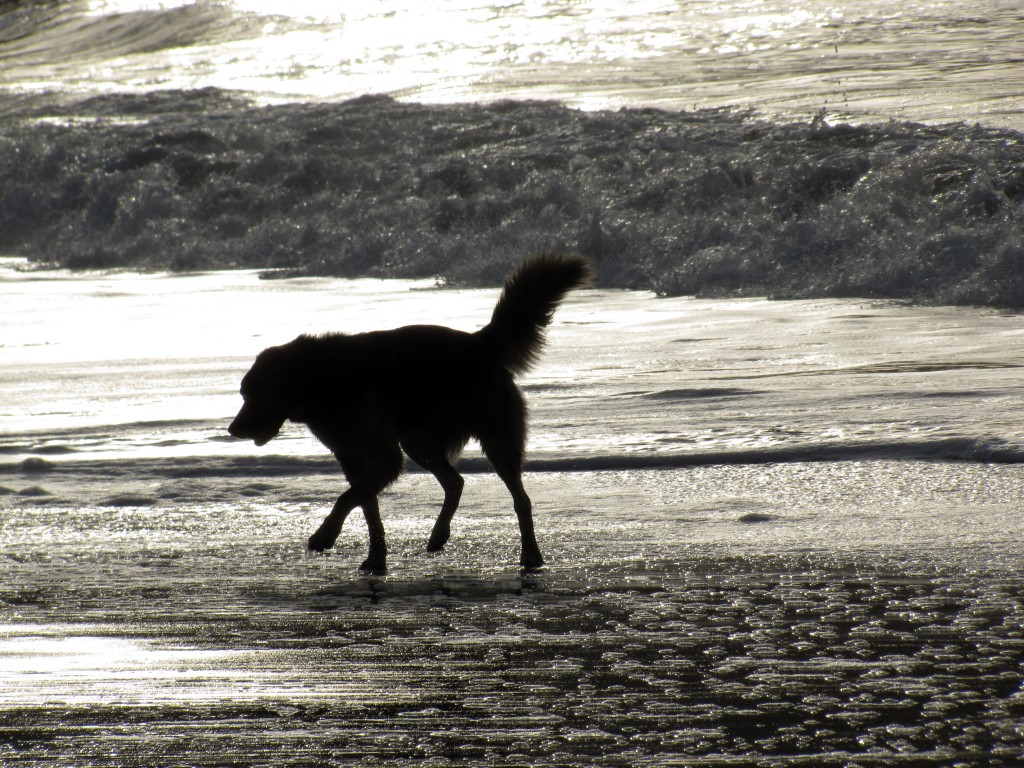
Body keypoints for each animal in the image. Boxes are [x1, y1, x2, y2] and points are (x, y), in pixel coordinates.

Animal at [224, 256, 593, 573]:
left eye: (254, 396)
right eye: (244, 395)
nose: (232, 430)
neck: (317, 380)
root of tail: (478, 342)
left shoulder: (384, 458)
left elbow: (346, 499)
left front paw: (325, 536)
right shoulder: (355, 459)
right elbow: (366, 509)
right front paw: (376, 559)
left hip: (496, 442)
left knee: (521, 500)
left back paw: (530, 555)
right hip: (420, 443)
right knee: (456, 482)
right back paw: (439, 535)